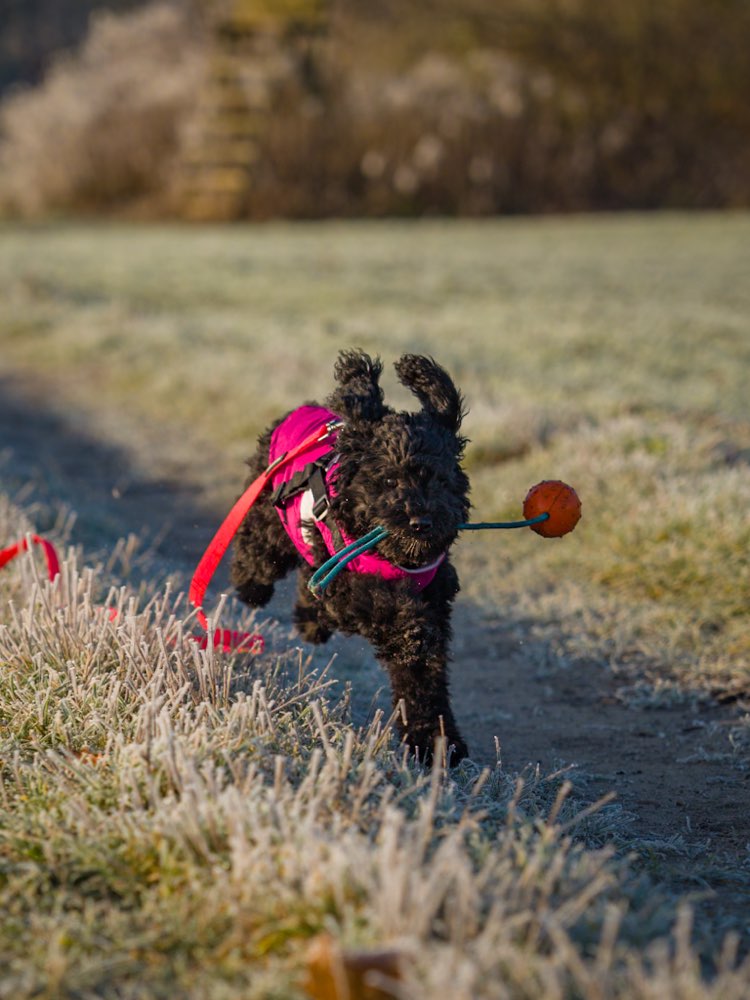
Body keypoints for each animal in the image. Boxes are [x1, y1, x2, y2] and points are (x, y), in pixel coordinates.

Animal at [232, 348, 472, 760]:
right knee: (258, 553)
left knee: (306, 580)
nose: (421, 521)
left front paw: (437, 743)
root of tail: (302, 411)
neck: (397, 561)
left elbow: (423, 684)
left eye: (441, 480)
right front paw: (412, 632)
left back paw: (309, 622)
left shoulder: (434, 596)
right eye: (389, 479)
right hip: (270, 518)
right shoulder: (346, 584)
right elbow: (387, 606)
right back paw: (250, 588)